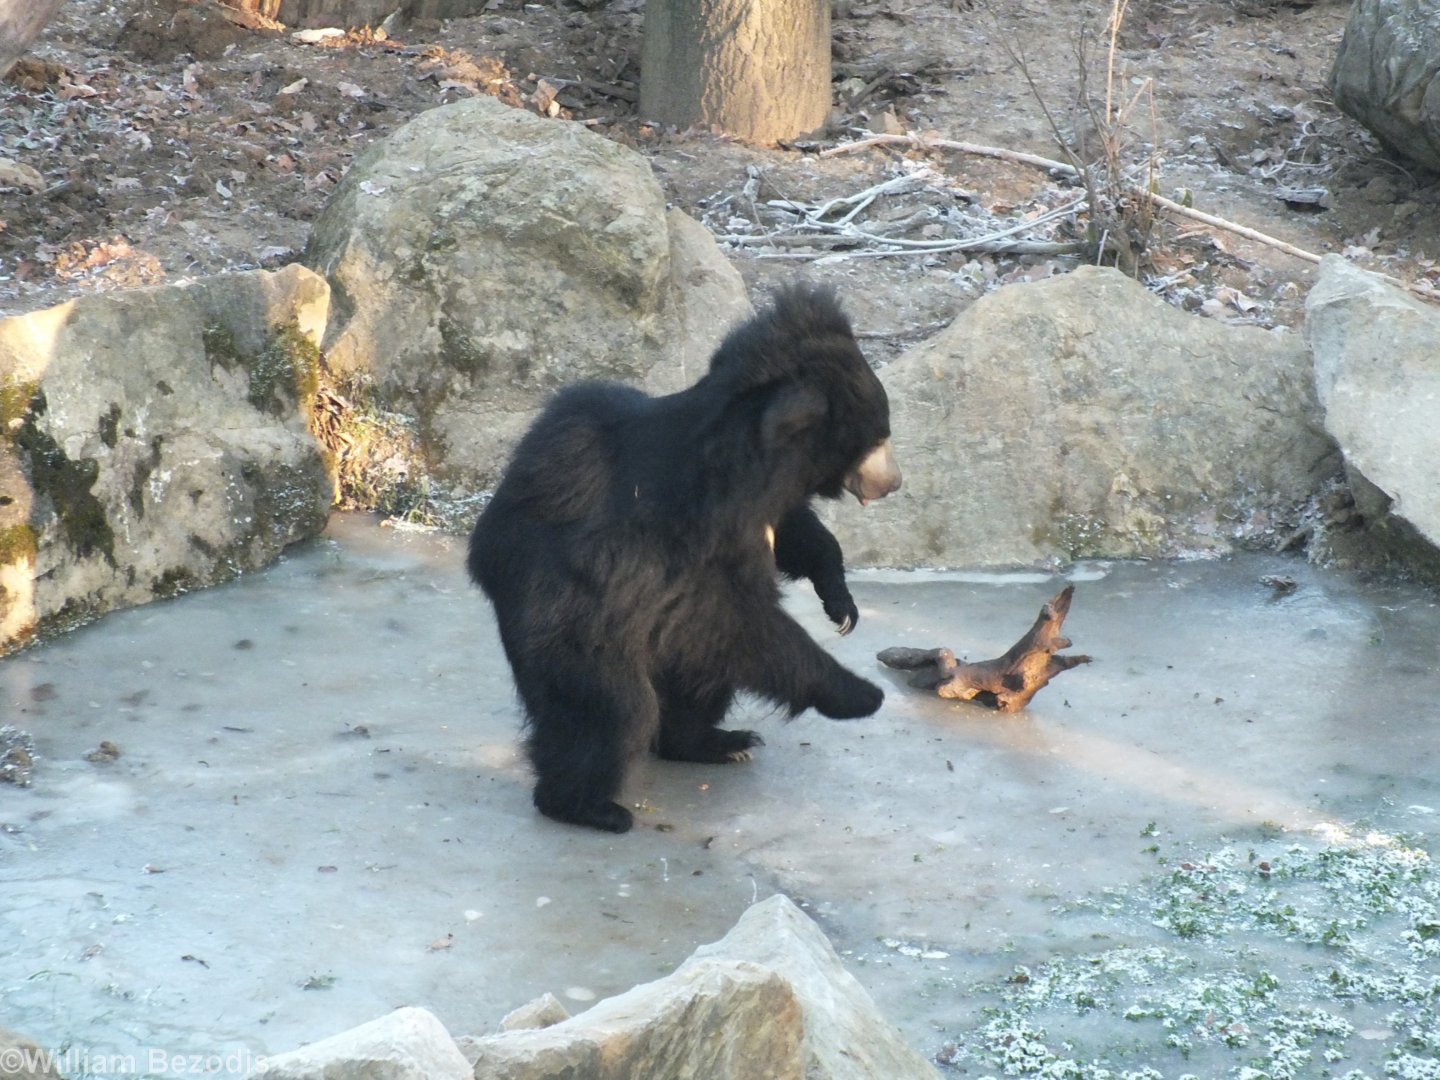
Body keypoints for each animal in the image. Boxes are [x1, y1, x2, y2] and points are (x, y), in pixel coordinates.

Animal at [468, 285, 901, 833]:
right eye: (880, 436)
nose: (894, 483)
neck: (756, 465)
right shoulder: (693, 537)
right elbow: (739, 618)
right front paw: (861, 694)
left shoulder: (761, 509)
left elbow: (799, 537)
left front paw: (841, 605)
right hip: (570, 623)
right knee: (611, 712)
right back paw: (590, 807)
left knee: (690, 685)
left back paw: (717, 743)